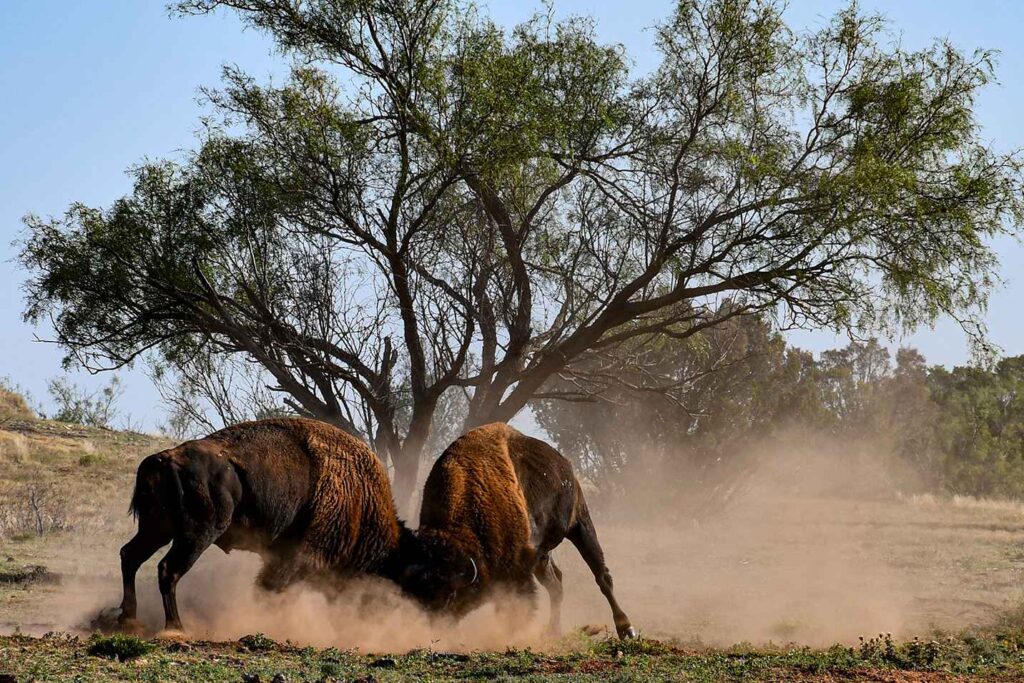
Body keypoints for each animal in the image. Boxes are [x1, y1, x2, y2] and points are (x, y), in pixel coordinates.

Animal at [117, 413, 405, 634]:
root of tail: (163, 459)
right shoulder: (300, 556)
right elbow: (273, 588)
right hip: (197, 534)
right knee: (168, 569)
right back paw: (176, 628)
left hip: (157, 529)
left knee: (130, 556)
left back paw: (128, 620)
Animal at [397, 421, 630, 643]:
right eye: (418, 599)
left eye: (450, 596)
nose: (435, 630)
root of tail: (566, 467)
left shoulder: (518, 570)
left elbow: (518, 605)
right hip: (543, 556)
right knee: (557, 585)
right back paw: (553, 632)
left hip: (580, 524)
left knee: (602, 576)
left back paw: (626, 629)